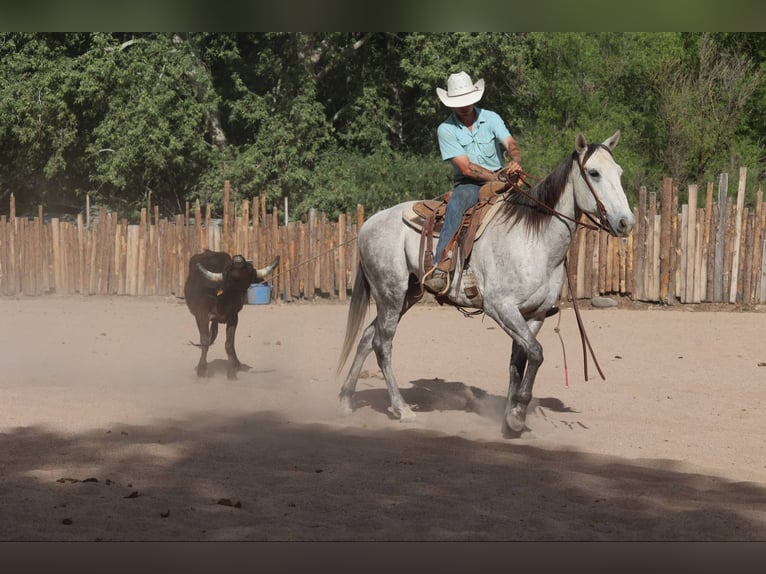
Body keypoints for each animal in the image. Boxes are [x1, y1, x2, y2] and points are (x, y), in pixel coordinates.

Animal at [336, 130, 635, 436]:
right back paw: (402, 408)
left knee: (367, 337)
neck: (534, 240)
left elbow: (520, 360)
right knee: (382, 344)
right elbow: (537, 353)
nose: (626, 222)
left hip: (407, 294)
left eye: (619, 172)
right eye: (594, 173)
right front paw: (518, 414)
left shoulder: (535, 314)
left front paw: (511, 417)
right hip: (391, 293)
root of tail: (368, 224)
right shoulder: (500, 307)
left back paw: (346, 400)